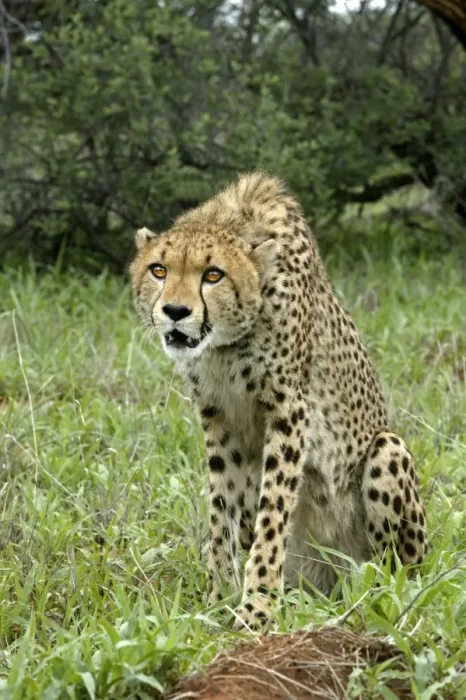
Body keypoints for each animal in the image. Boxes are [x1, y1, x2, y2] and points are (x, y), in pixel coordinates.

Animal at [130, 172, 427, 630]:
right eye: (158, 269)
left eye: (213, 275)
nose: (175, 311)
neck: (226, 344)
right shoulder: (219, 417)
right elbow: (221, 510)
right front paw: (217, 599)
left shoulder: (289, 411)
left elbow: (272, 515)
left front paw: (256, 610)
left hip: (386, 453)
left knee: (398, 572)